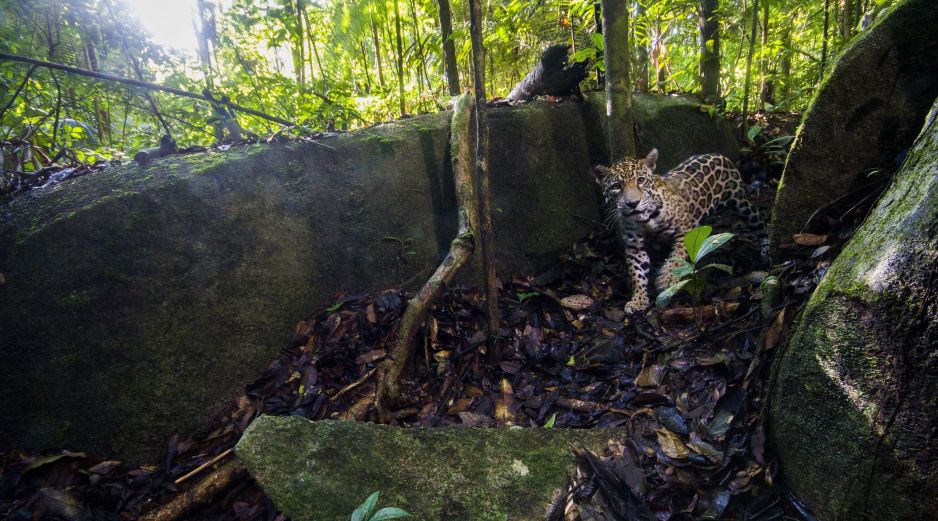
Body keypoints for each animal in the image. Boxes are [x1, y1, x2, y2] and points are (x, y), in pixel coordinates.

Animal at [593, 148, 768, 315]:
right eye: (616, 186)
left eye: (640, 180)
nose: (633, 203)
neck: (646, 219)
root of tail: (717, 154)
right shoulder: (634, 245)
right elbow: (637, 272)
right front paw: (638, 300)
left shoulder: (685, 230)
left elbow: (676, 258)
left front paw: (666, 279)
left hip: (742, 204)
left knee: (760, 223)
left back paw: (766, 248)